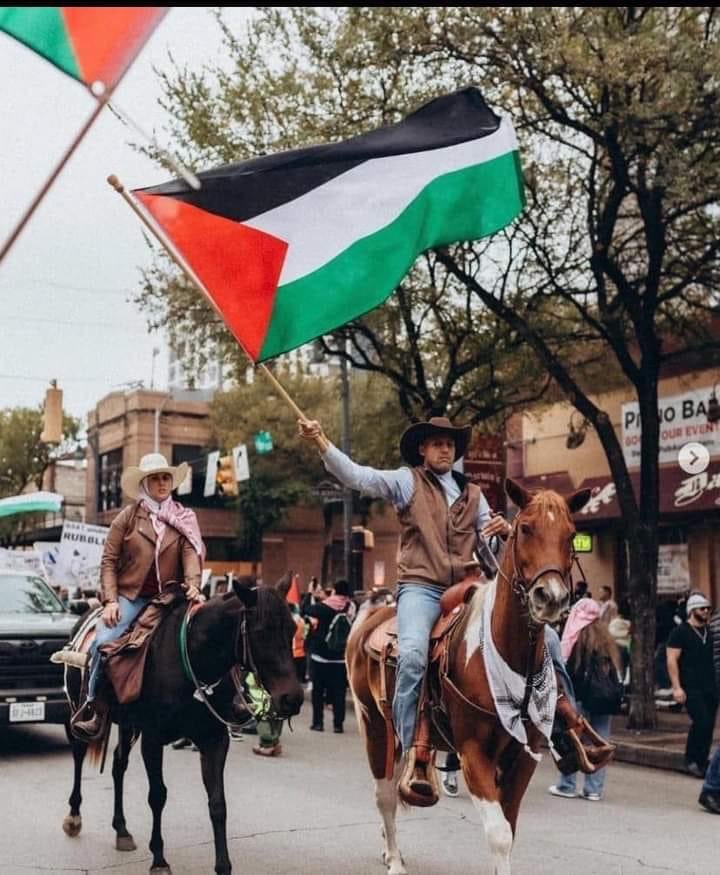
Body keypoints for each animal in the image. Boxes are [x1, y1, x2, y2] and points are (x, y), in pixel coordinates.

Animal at [61, 580, 304, 875]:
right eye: (261, 632)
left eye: (292, 630)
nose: (292, 698)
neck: (194, 660)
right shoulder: (152, 739)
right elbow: (158, 795)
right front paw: (159, 859)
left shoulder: (214, 739)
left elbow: (217, 803)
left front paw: (223, 865)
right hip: (78, 710)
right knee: (78, 754)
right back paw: (74, 817)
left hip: (128, 724)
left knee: (118, 765)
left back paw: (122, 830)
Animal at [348, 480, 592, 875]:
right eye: (525, 528)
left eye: (571, 535)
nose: (551, 597)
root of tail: (370, 613)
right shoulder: (473, 753)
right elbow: (499, 834)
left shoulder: (524, 756)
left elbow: (509, 828)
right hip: (375, 725)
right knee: (384, 795)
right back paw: (395, 860)